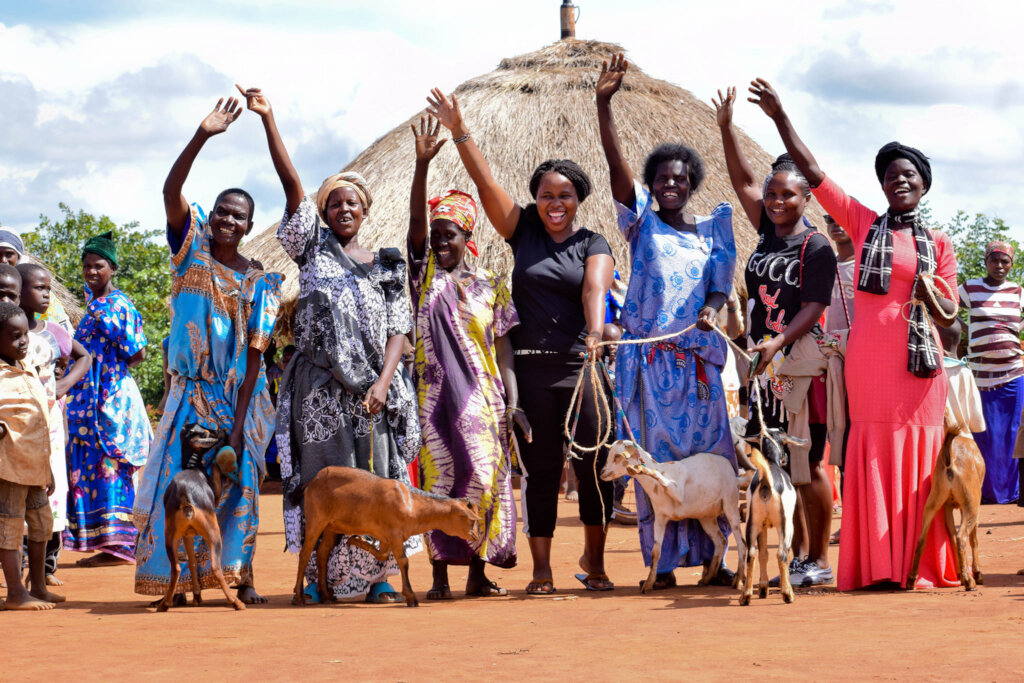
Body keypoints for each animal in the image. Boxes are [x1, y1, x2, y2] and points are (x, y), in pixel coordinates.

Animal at [290, 466, 477, 606]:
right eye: (471, 521)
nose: (475, 536)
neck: (411, 503)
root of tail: (312, 481)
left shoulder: (387, 537)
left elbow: (383, 554)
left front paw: (357, 540)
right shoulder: (395, 535)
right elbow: (403, 562)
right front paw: (411, 597)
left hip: (331, 527)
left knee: (322, 552)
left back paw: (327, 596)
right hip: (316, 520)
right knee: (305, 553)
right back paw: (299, 597)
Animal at [598, 444, 749, 593]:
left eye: (617, 456)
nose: (601, 473)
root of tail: (734, 474)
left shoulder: (677, 491)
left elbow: (660, 477)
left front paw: (640, 469)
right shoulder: (660, 518)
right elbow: (655, 552)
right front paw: (649, 583)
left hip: (730, 503)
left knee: (741, 543)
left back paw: (738, 579)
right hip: (706, 516)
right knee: (720, 541)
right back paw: (707, 578)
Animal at [909, 432, 987, 589]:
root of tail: (950, 461)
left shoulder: (947, 507)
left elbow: (951, 535)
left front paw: (960, 574)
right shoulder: (971, 506)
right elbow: (973, 539)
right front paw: (976, 573)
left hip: (933, 502)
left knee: (922, 539)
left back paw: (911, 580)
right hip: (971, 505)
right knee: (962, 537)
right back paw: (970, 582)